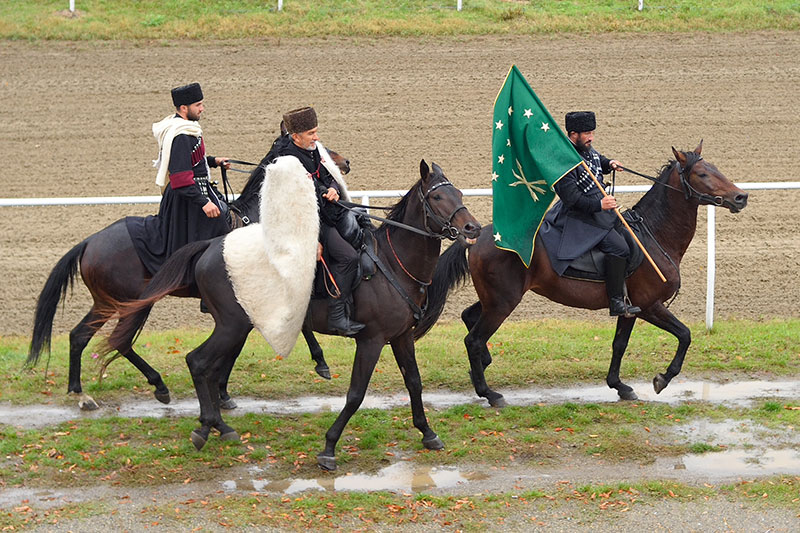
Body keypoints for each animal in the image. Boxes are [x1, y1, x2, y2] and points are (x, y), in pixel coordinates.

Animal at [28, 135, 346, 410]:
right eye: (314, 149)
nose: (345, 163)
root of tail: (89, 242)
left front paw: (222, 391)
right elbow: (289, 328)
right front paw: (320, 362)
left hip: (105, 303)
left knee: (80, 336)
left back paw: (80, 393)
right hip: (132, 304)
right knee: (119, 340)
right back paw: (157, 386)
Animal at [103, 158, 482, 470]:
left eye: (459, 192)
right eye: (437, 198)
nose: (472, 229)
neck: (392, 262)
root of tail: (211, 246)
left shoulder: (401, 337)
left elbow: (414, 383)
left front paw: (428, 433)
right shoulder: (371, 340)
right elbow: (356, 394)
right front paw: (329, 448)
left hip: (234, 327)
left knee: (207, 368)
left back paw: (217, 426)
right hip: (232, 325)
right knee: (198, 362)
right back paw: (207, 427)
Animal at [424, 143, 752, 406]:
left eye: (716, 168)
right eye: (703, 174)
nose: (741, 197)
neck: (653, 235)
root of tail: (478, 235)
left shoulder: (632, 309)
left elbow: (620, 345)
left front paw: (619, 386)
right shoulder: (647, 306)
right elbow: (683, 335)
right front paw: (661, 379)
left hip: (494, 299)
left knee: (469, 318)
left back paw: (482, 366)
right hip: (503, 303)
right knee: (474, 340)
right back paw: (489, 393)